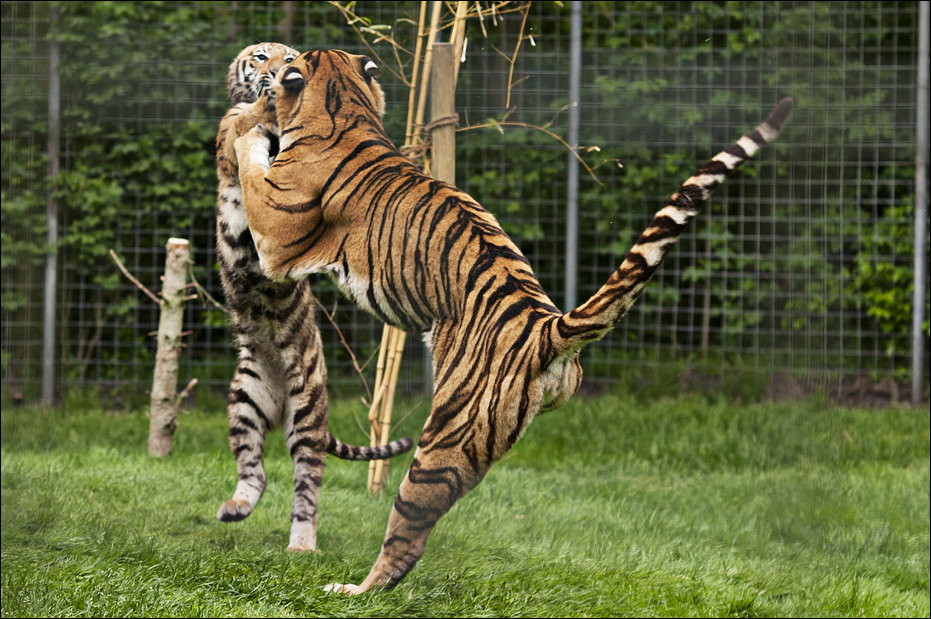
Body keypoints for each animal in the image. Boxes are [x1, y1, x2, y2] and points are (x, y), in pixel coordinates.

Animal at [214, 43, 413, 553]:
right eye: (260, 56)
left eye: (288, 56)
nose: (276, 71)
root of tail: (279, 399)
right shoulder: (230, 137)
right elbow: (242, 125)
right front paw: (263, 108)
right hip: (244, 400)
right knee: (256, 472)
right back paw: (235, 507)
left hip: (306, 412)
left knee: (306, 489)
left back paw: (302, 542)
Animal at [232, 49, 793, 594]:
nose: (269, 71)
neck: (344, 105)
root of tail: (549, 327)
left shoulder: (275, 234)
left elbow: (248, 164)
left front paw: (245, 127)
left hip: (442, 442)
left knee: (404, 535)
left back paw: (353, 590)